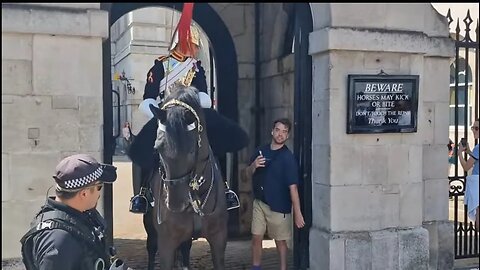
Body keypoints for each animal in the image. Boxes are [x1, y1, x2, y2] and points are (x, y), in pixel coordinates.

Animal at [147, 86, 228, 268]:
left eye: (191, 151)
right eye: (157, 148)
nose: (175, 205)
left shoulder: (218, 238)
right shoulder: (166, 242)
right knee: (151, 247)